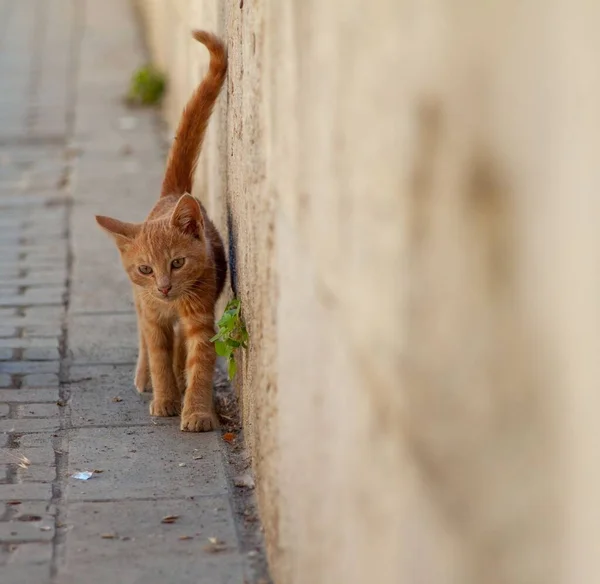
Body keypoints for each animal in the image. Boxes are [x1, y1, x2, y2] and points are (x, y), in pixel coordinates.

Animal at [96, 32, 227, 432]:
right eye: (145, 269)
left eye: (178, 263)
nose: (164, 287)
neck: (172, 305)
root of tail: (171, 195)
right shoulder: (153, 316)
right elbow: (157, 354)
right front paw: (165, 398)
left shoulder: (200, 317)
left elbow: (200, 361)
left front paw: (196, 410)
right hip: (142, 304)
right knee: (144, 338)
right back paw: (145, 378)